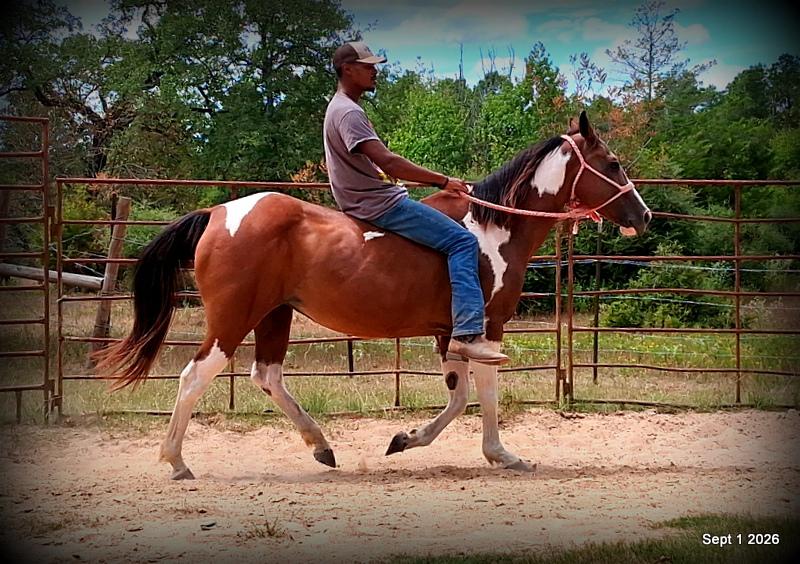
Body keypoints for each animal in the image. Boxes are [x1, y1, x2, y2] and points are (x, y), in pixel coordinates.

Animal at [95, 111, 651, 480]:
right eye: (613, 163)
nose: (643, 215)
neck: (493, 228)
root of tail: (218, 213)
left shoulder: (452, 335)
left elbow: (459, 397)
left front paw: (406, 439)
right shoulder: (488, 328)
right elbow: (486, 393)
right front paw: (502, 455)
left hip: (275, 316)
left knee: (267, 376)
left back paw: (321, 447)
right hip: (233, 319)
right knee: (195, 376)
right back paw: (176, 462)